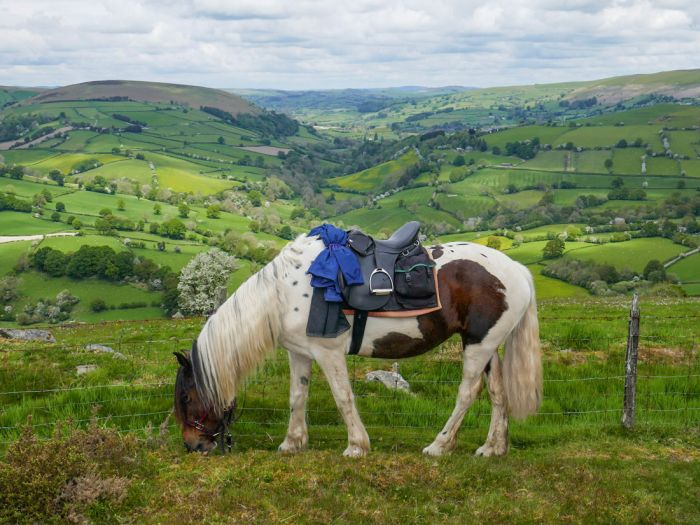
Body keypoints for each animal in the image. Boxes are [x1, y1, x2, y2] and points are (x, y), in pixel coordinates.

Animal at [174, 232, 540, 454]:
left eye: (188, 396)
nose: (193, 446)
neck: (282, 293)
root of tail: (516, 269)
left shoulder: (328, 352)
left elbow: (343, 397)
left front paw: (356, 446)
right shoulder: (299, 353)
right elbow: (297, 397)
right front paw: (292, 443)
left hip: (478, 346)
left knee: (467, 393)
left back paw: (439, 446)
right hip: (486, 345)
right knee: (497, 393)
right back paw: (493, 448)